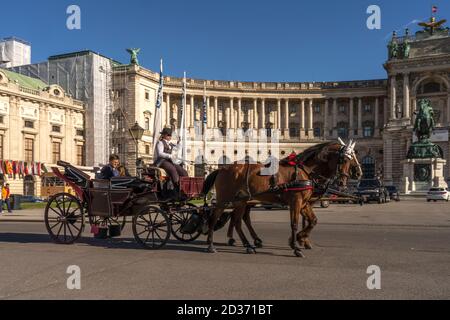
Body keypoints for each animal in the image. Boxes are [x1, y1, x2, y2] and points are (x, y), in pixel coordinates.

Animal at [200, 140, 362, 258]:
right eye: (346, 159)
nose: (358, 173)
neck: (304, 171)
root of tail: (222, 168)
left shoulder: (304, 203)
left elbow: (313, 221)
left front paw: (300, 239)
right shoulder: (296, 202)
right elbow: (294, 224)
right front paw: (296, 246)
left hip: (242, 201)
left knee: (238, 220)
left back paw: (248, 244)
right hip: (225, 200)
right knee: (215, 218)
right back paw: (212, 245)